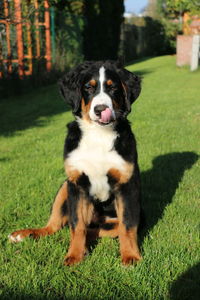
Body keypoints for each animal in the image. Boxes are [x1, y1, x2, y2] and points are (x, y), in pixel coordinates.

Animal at [8, 60, 142, 264]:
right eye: (88, 87)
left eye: (113, 88)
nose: (100, 109)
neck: (98, 135)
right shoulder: (77, 184)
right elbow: (77, 224)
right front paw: (74, 256)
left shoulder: (126, 185)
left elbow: (127, 226)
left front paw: (131, 256)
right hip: (64, 186)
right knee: (56, 226)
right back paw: (24, 234)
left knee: (102, 230)